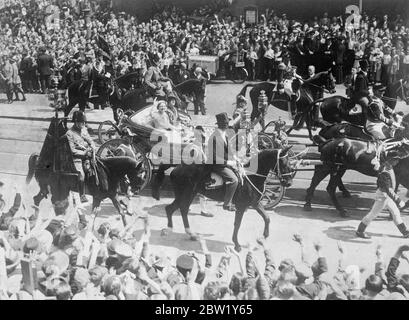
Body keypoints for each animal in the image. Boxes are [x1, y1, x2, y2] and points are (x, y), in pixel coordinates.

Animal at [162, 146, 294, 251]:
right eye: (283, 163)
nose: (289, 183)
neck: (251, 176)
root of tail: (176, 168)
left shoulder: (255, 203)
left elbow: (266, 218)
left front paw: (263, 238)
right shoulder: (241, 206)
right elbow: (237, 224)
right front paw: (237, 245)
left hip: (189, 194)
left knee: (179, 209)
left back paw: (190, 234)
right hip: (185, 194)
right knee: (175, 208)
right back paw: (171, 230)